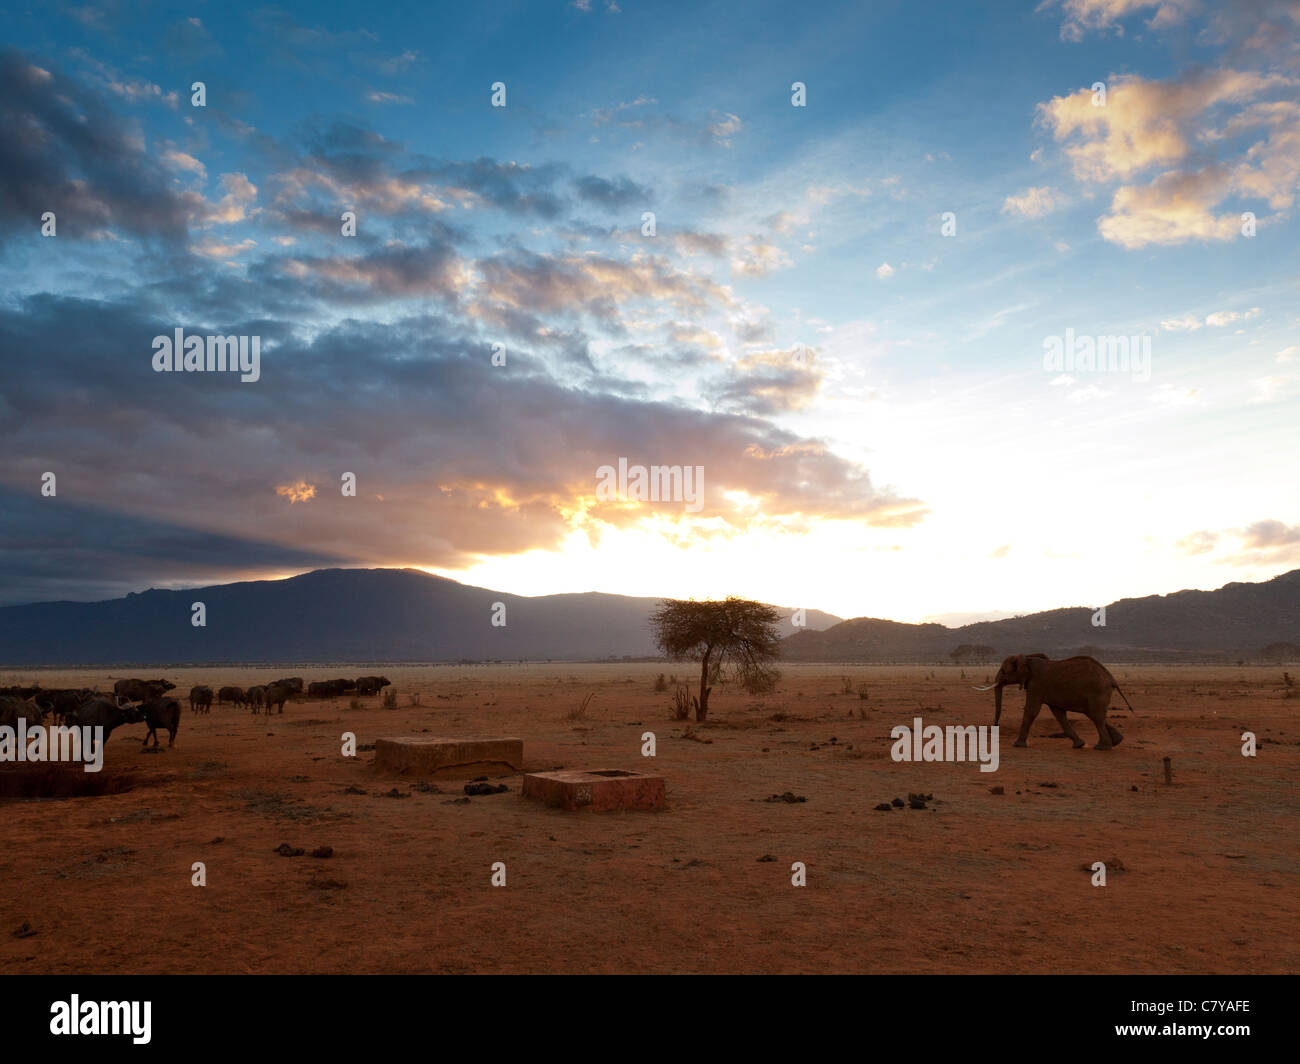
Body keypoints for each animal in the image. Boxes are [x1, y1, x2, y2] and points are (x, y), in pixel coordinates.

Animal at [972, 650, 1133, 749]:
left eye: (1004, 671)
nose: (994, 727)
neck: (1027, 657)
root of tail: (1111, 678)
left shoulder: (1037, 684)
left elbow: (1031, 710)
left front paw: (1017, 745)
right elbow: (1058, 713)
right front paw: (1079, 745)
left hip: (1097, 691)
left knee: (1096, 716)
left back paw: (1102, 748)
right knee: (1095, 715)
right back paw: (1117, 741)